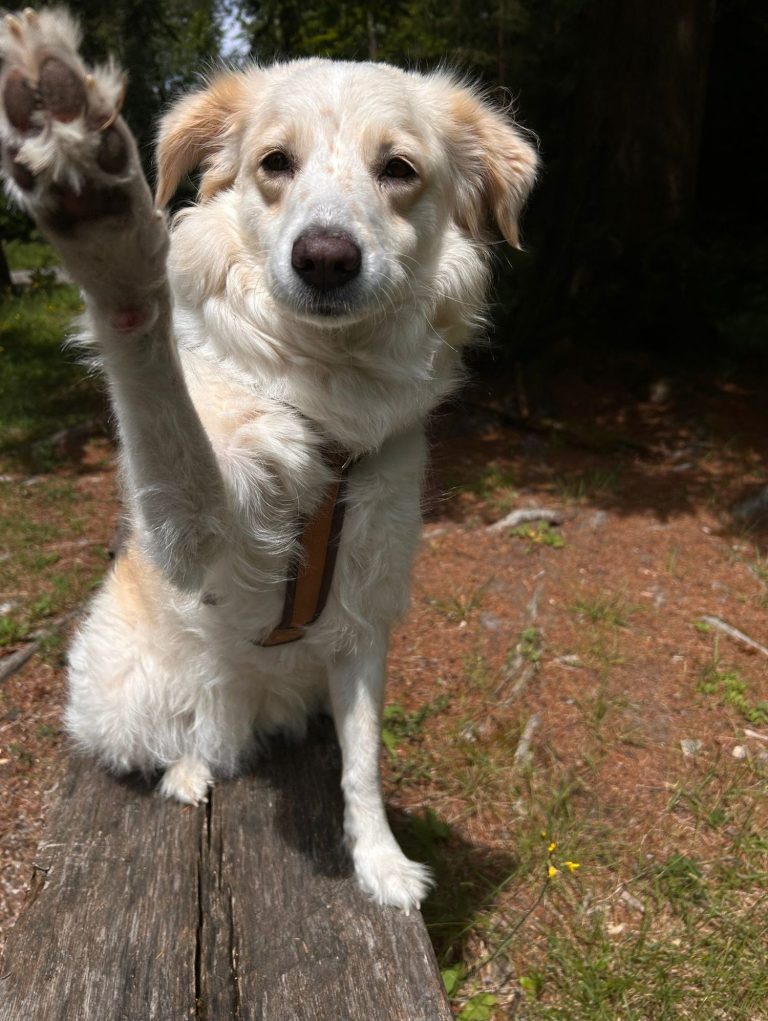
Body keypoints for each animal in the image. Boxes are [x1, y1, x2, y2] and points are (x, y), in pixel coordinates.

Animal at [0, 5, 535, 902]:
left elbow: (363, 763)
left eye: (398, 169)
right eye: (274, 163)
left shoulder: (364, 620)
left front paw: (378, 860)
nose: (325, 258)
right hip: (125, 691)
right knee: (147, 746)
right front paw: (105, 229)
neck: (324, 389)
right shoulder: (197, 530)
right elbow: (162, 412)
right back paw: (185, 770)